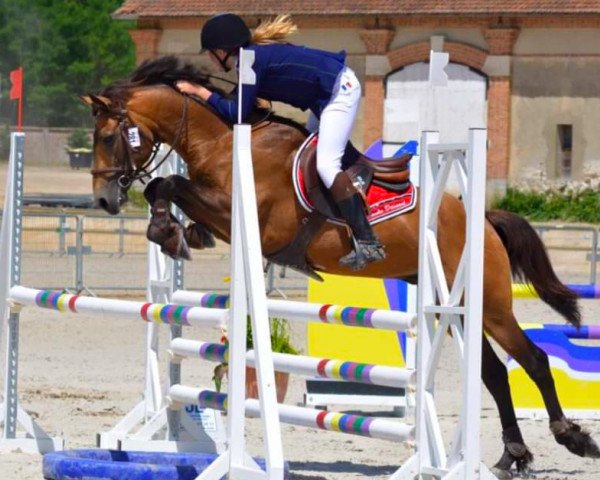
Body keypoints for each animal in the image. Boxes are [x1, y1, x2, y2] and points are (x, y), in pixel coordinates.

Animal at [82, 55, 596, 476]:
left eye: (108, 136)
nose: (105, 201)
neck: (225, 143)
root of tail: (480, 218)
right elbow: (163, 188)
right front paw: (174, 232)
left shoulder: (247, 218)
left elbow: (167, 185)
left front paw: (169, 230)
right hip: (453, 307)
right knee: (492, 373)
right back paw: (513, 455)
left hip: (486, 303)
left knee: (533, 359)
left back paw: (571, 437)